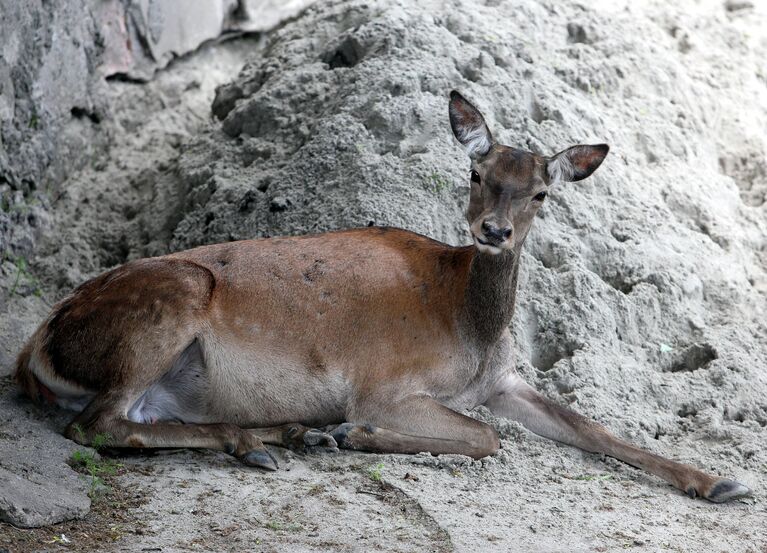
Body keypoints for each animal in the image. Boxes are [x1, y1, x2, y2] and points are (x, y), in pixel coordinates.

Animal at [13, 89, 752, 500]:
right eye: (476, 171)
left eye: (542, 192)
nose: (493, 230)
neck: (469, 329)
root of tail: (36, 347)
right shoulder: (384, 382)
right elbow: (486, 438)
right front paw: (352, 431)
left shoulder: (504, 380)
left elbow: (592, 427)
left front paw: (719, 480)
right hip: (168, 301)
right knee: (97, 424)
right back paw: (280, 438)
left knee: (131, 419)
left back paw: (283, 434)